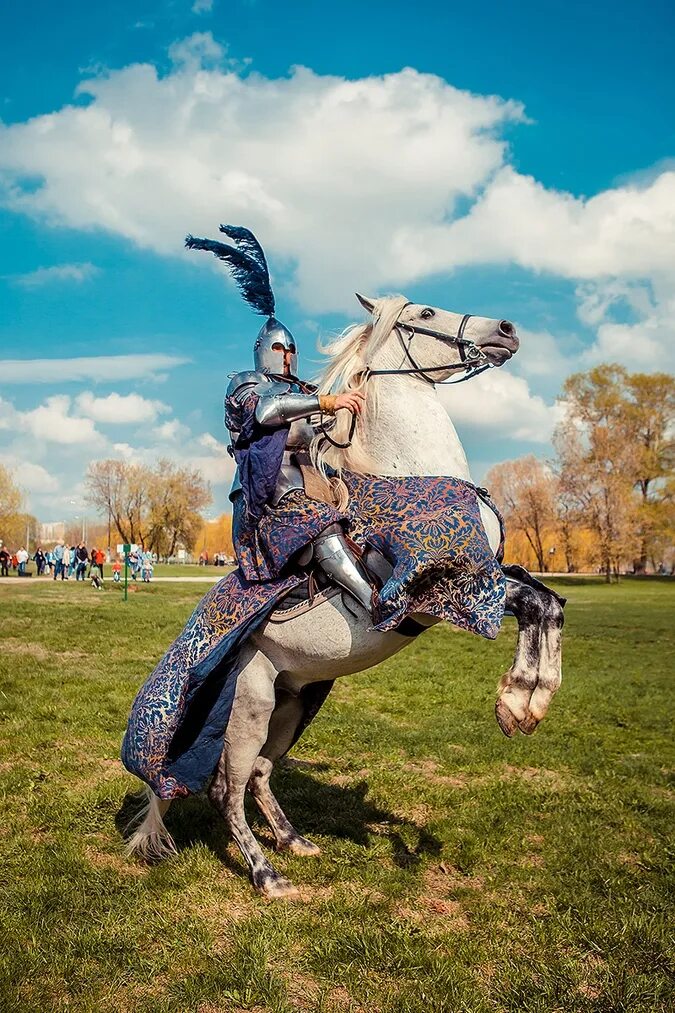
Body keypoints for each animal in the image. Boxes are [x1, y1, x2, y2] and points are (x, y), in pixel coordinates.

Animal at [124, 295, 563, 899]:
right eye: (426, 312)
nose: (506, 330)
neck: (414, 473)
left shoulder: (492, 574)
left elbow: (549, 603)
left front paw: (528, 701)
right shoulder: (446, 591)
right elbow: (533, 604)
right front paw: (518, 702)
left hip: (297, 700)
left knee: (259, 773)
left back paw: (294, 840)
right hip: (250, 705)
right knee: (226, 789)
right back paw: (267, 873)